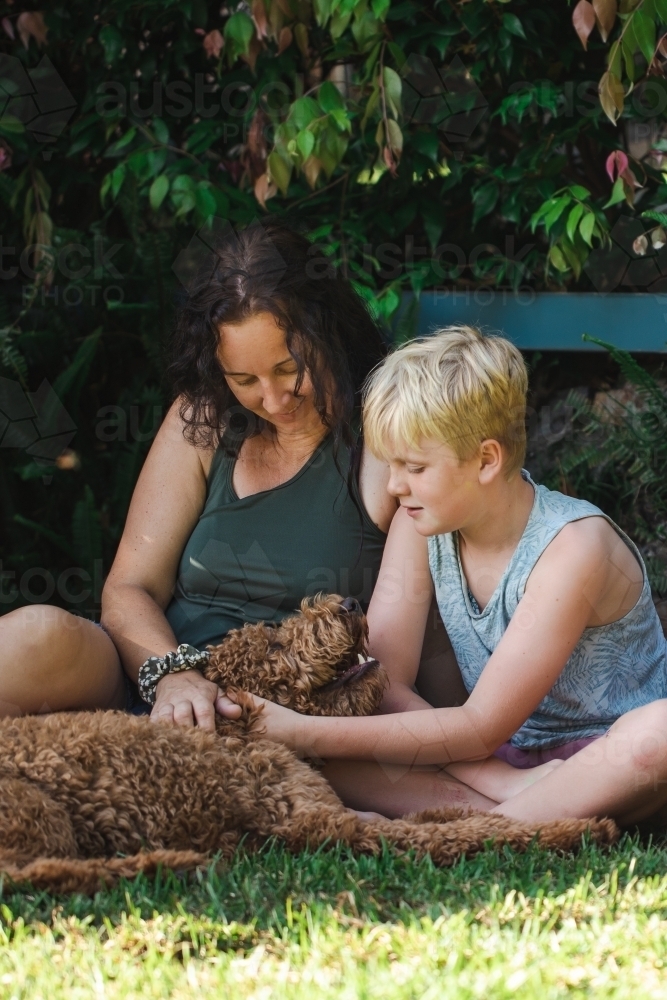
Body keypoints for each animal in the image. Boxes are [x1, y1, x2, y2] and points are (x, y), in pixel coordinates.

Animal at [0, 592, 616, 892]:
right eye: (275, 645)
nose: (350, 604)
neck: (240, 729)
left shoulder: (351, 814)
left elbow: (457, 818)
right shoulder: (325, 826)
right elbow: (459, 834)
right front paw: (578, 831)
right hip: (37, 810)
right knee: (37, 878)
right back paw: (168, 864)